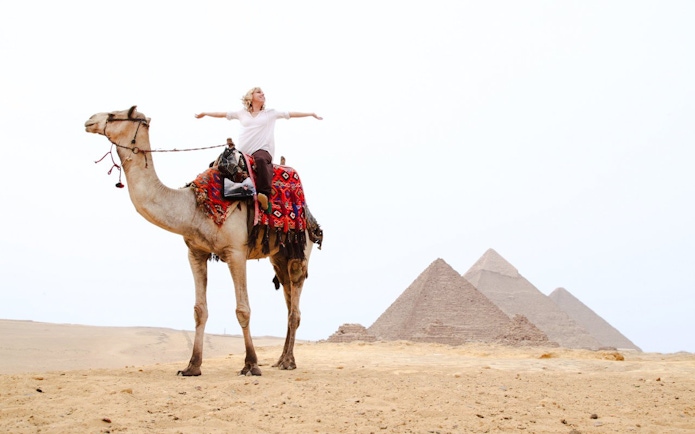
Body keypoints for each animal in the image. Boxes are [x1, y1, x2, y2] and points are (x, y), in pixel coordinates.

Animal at [84, 106, 322, 376]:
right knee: (288, 297)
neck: (193, 207)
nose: (89, 120)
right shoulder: (195, 252)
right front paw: (192, 366)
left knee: (295, 306)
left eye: (116, 114)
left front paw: (251, 364)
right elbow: (199, 311)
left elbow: (243, 310)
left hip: (300, 251)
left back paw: (289, 361)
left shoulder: (235, 252)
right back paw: (281, 359)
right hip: (279, 256)